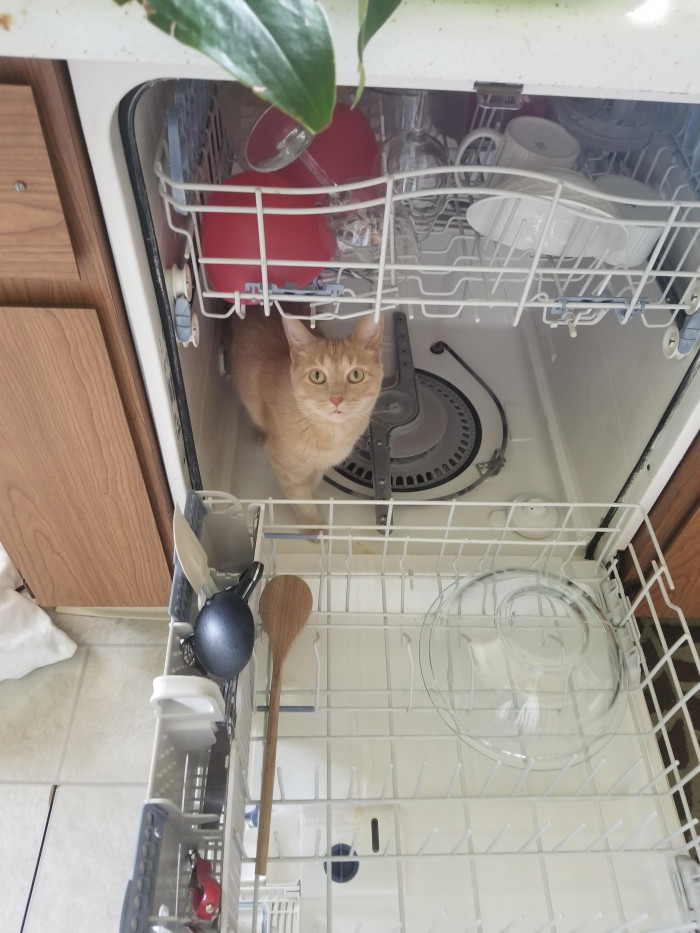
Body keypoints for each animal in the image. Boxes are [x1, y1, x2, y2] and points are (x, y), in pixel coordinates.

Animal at [228, 306, 382, 524]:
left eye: (356, 375)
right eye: (317, 376)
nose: (336, 399)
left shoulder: (322, 463)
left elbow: (314, 478)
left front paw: (313, 485)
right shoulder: (286, 468)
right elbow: (301, 499)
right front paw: (314, 525)